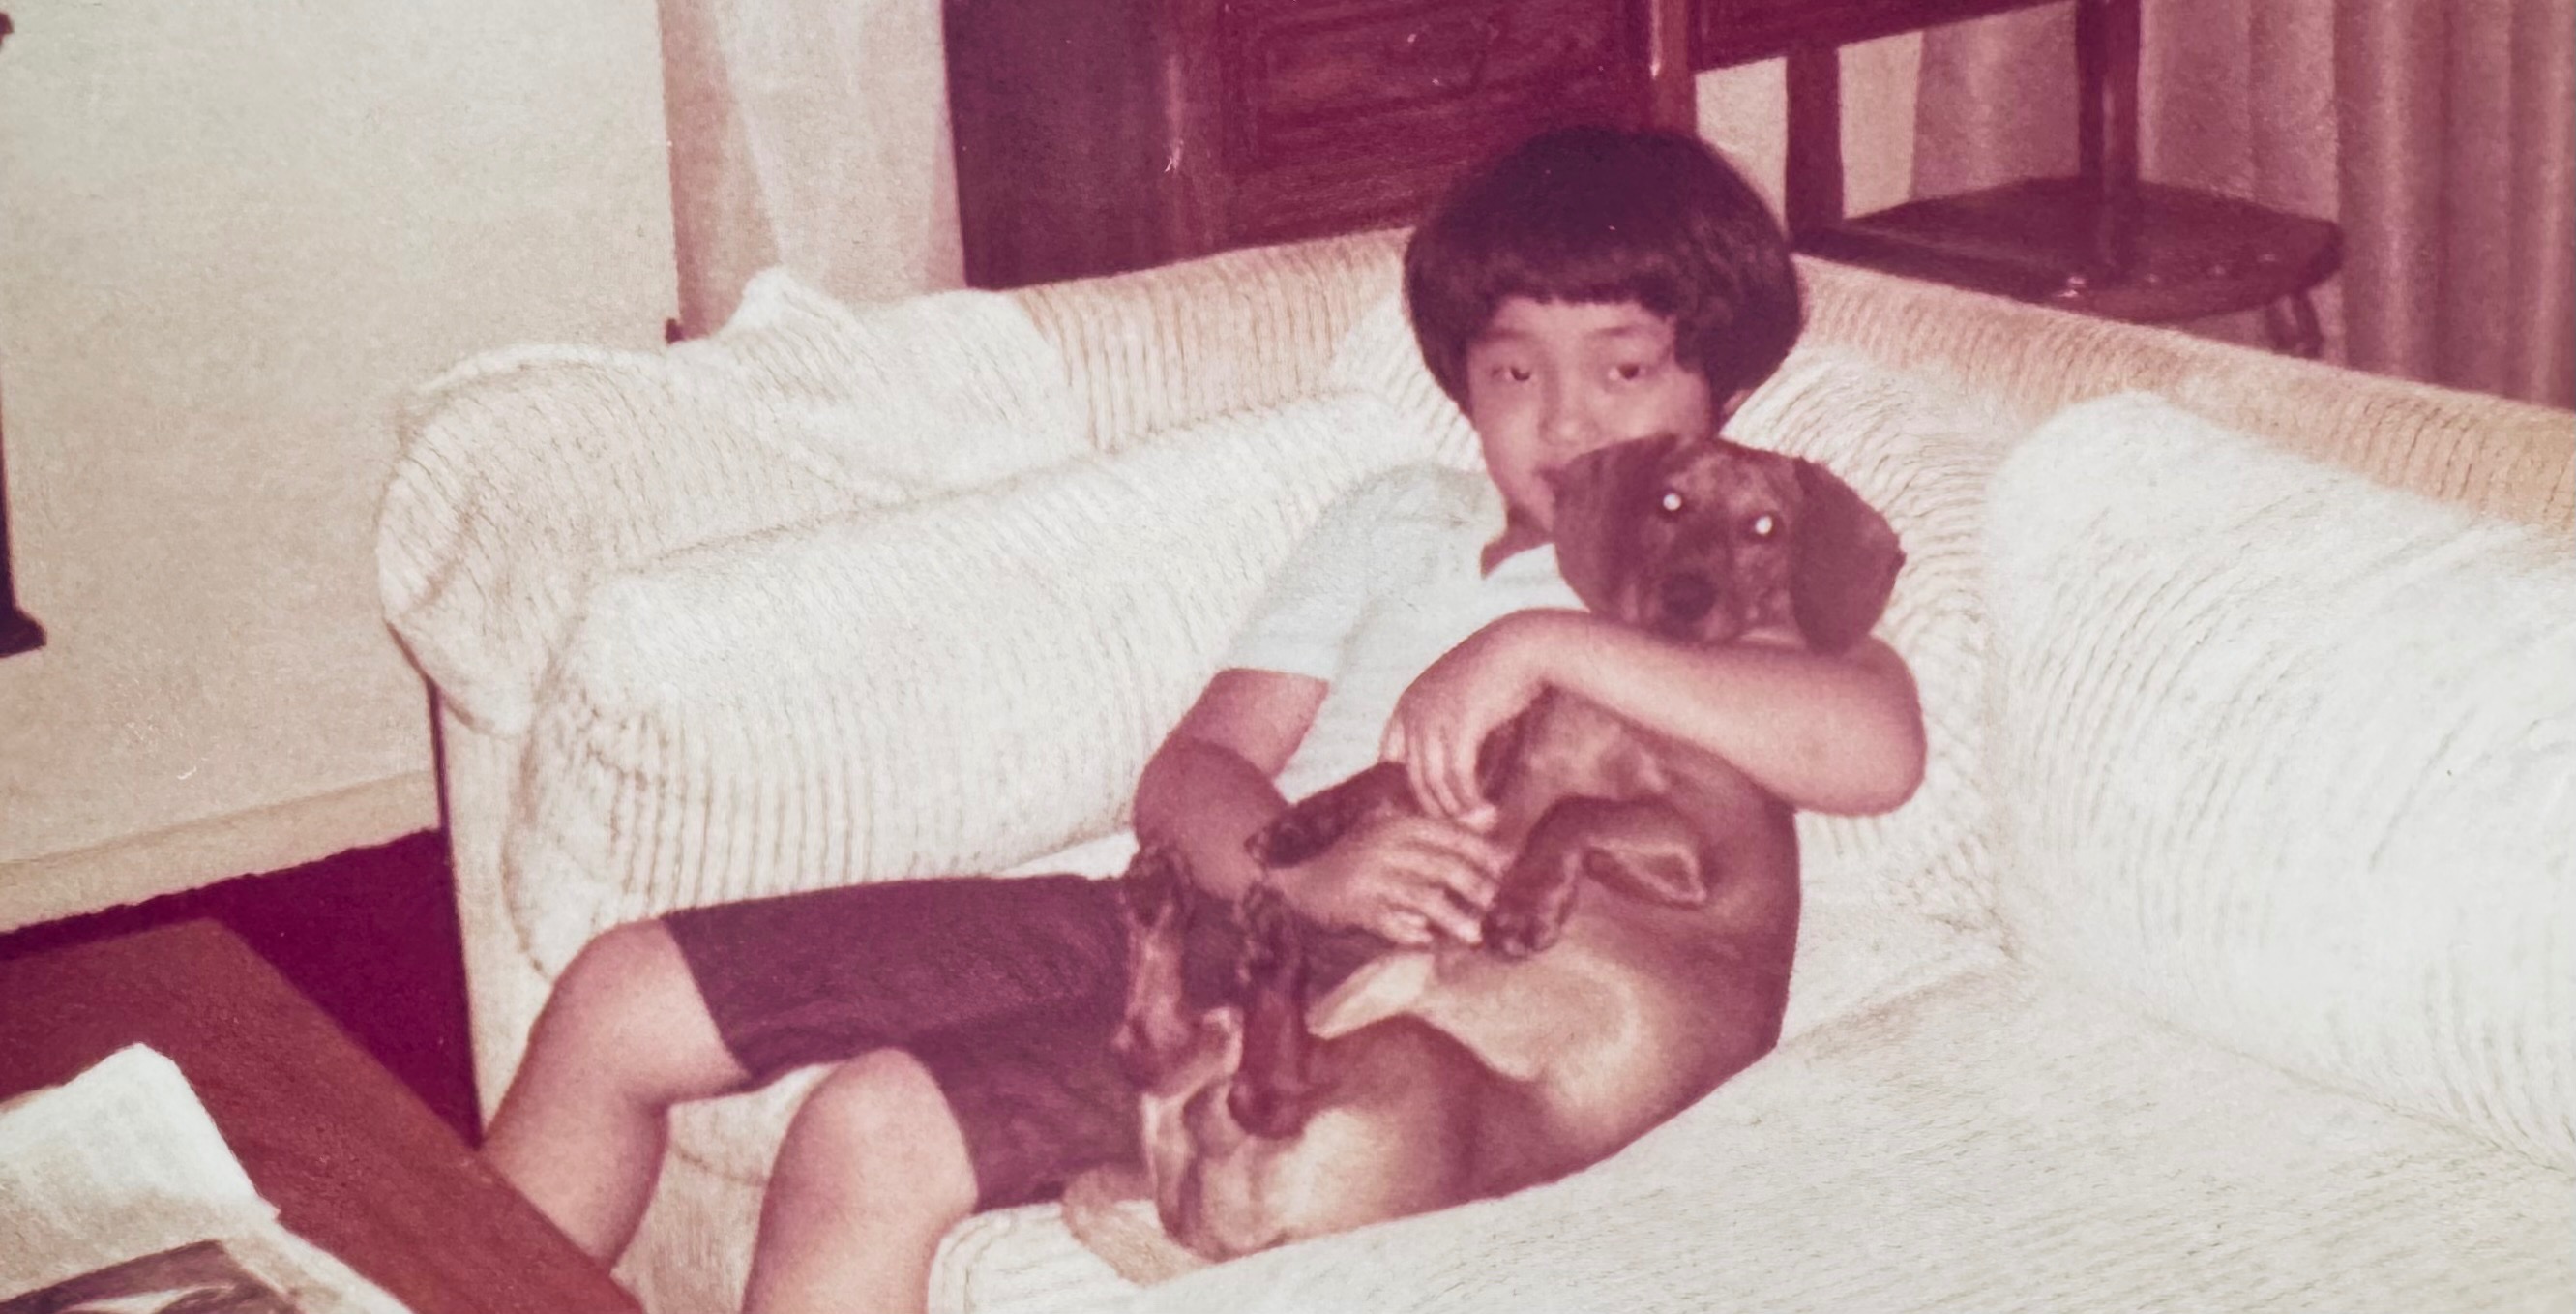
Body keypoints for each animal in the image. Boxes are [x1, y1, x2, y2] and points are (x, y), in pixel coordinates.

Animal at [1108, 430, 1905, 1262]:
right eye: (1670, 502)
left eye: (1764, 528)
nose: (1686, 597)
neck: (1613, 701)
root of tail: (1223, 1233)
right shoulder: (1480, 779)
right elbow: (1388, 775)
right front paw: (1302, 825)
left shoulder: (1697, 851)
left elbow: (1573, 812)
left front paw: (1522, 905)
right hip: (1236, 1048)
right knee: (1153, 1051)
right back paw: (1164, 904)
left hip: (1418, 1057)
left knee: (1261, 1092)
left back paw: (1267, 947)